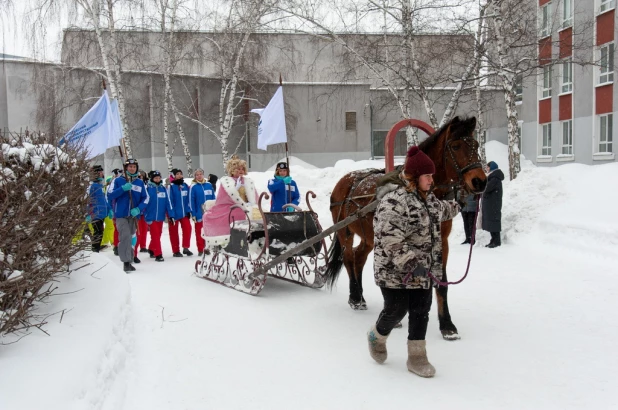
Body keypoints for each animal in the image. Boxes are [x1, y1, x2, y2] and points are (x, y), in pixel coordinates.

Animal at [322, 114, 486, 340]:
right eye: (455, 146)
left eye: (476, 144)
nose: (480, 181)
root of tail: (345, 180)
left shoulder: (441, 241)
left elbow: (441, 282)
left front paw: (447, 325)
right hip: (343, 231)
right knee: (348, 258)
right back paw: (355, 297)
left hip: (368, 237)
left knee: (358, 257)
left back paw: (360, 296)